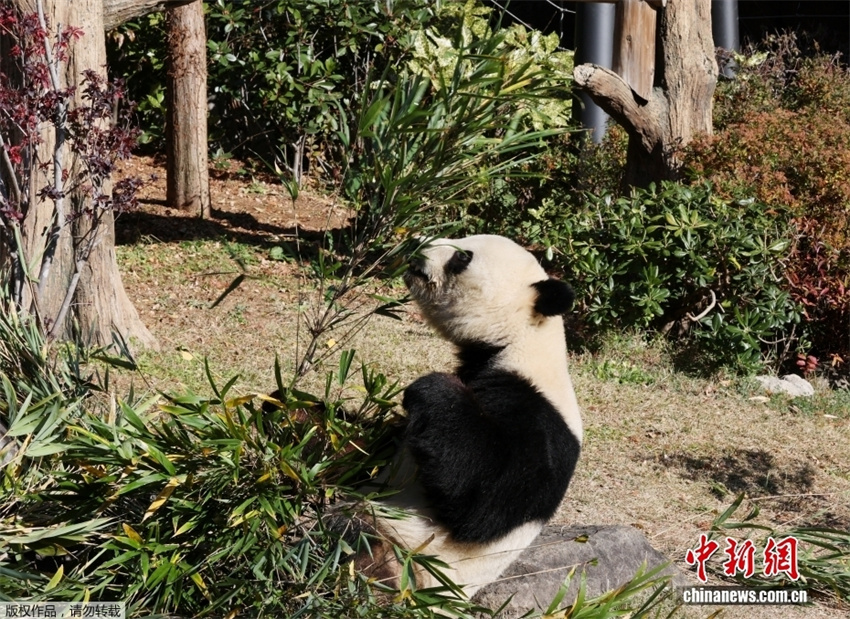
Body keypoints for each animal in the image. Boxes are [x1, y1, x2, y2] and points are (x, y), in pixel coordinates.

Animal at [358, 234, 582, 596]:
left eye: (462, 257)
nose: (416, 243)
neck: (519, 341)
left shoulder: (539, 417)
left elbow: (485, 501)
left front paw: (435, 388)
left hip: (404, 560)